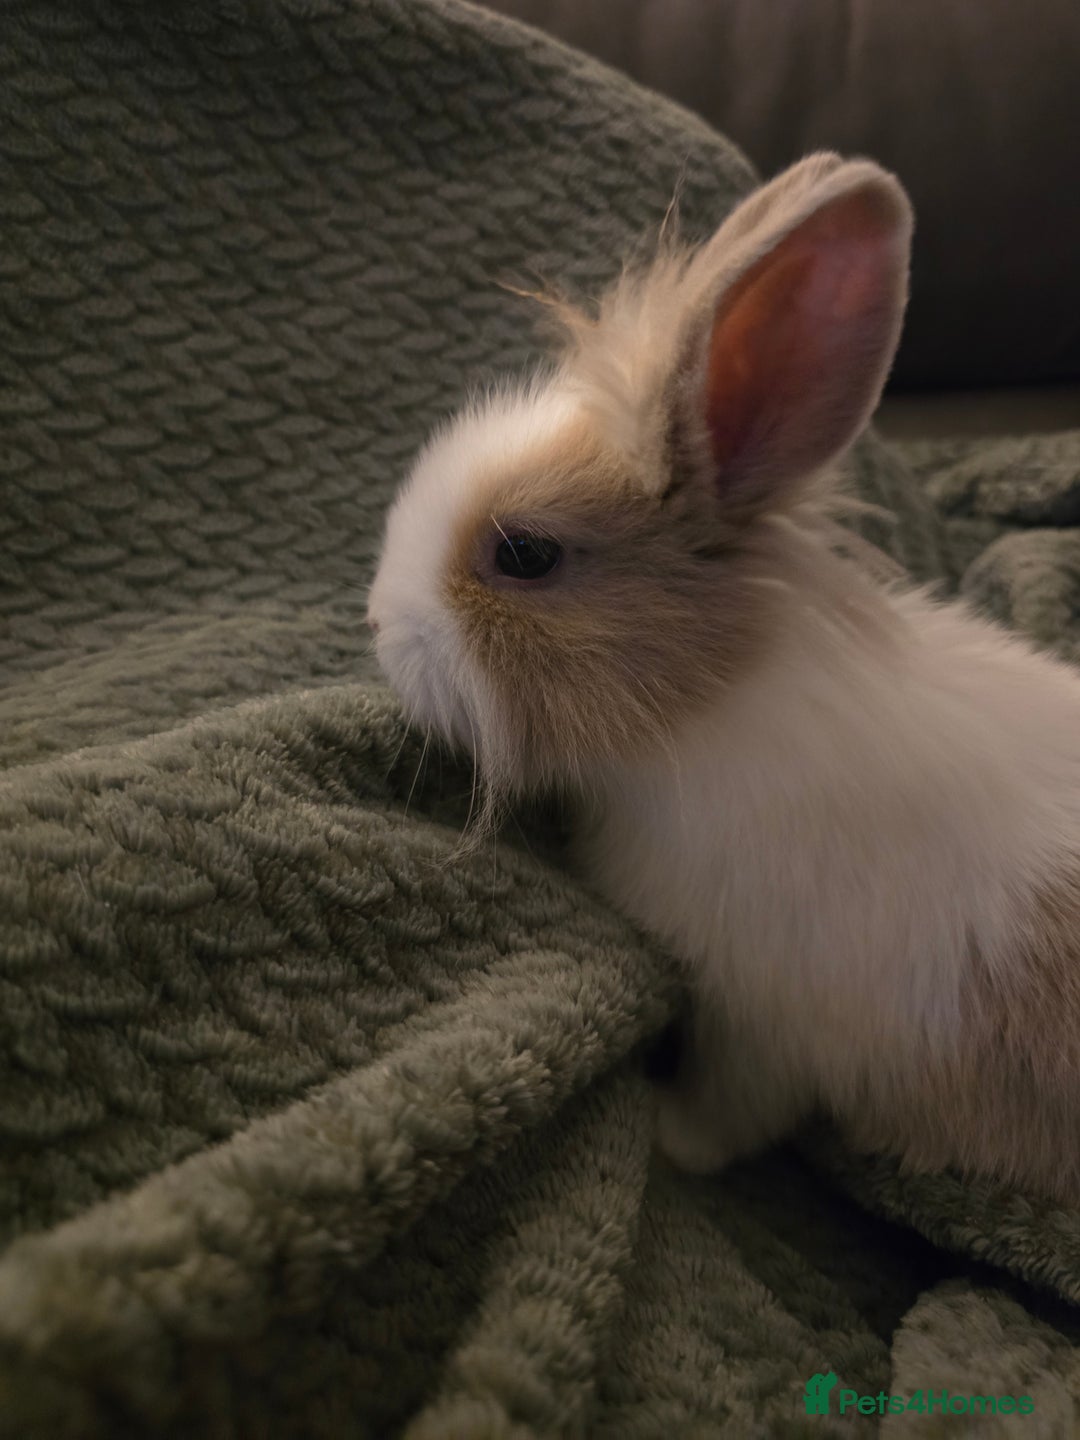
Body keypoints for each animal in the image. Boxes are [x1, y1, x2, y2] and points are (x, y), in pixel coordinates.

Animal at [367, 152, 1080, 1205]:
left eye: (525, 554)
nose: (378, 623)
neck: (706, 708)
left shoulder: (770, 1028)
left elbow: (729, 1108)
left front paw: (671, 1140)